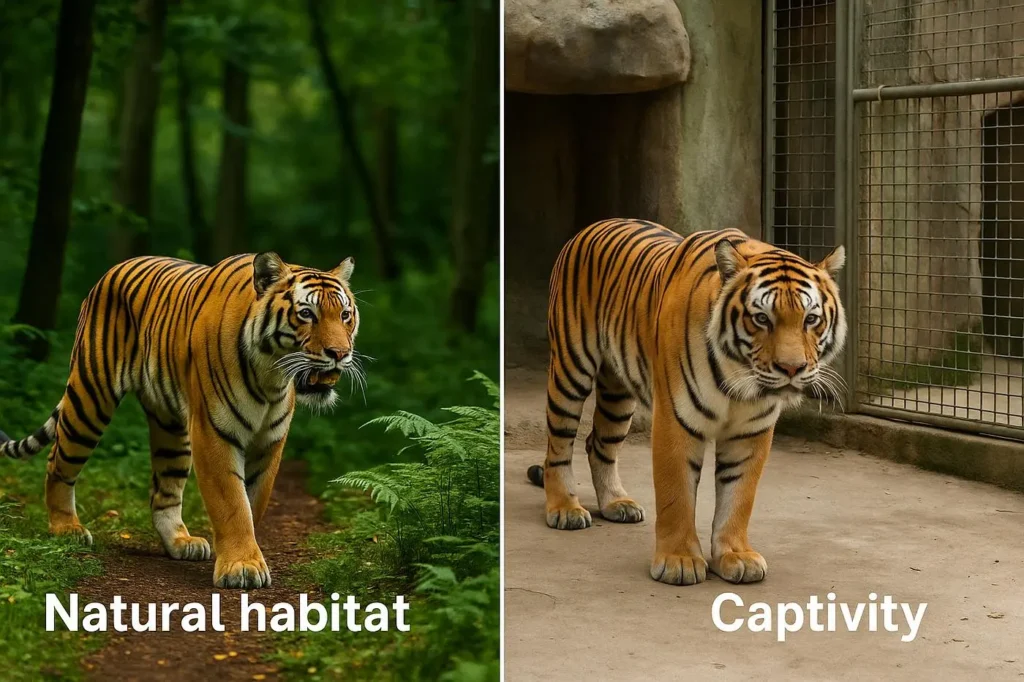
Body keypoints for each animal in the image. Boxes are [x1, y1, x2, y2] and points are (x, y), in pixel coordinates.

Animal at [0, 252, 362, 589]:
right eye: (306, 314)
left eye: (345, 315)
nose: (340, 353)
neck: (271, 376)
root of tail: (114, 268)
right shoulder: (214, 432)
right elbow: (232, 503)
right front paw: (242, 566)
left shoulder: (269, 442)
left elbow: (254, 502)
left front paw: (245, 556)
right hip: (90, 397)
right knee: (57, 461)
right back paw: (66, 529)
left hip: (171, 428)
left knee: (164, 489)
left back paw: (181, 541)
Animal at [526, 219, 846, 586]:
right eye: (762, 319)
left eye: (811, 319)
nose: (791, 369)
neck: (739, 377)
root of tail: (590, 227)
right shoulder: (676, 420)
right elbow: (676, 493)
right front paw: (678, 560)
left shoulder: (750, 432)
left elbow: (739, 496)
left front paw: (736, 555)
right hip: (570, 370)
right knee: (559, 445)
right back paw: (565, 509)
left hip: (618, 394)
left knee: (599, 443)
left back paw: (616, 503)